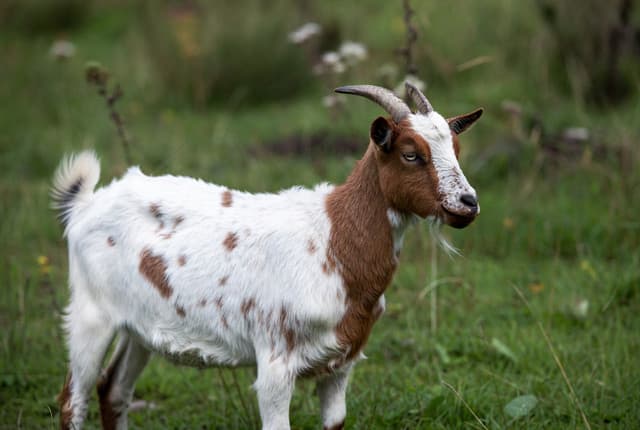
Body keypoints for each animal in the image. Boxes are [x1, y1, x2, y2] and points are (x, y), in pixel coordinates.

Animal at [52, 82, 482, 430]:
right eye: (410, 154)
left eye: (457, 149)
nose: (468, 203)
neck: (333, 240)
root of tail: (86, 203)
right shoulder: (275, 362)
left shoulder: (341, 363)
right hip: (92, 313)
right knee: (74, 399)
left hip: (139, 327)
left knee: (113, 391)